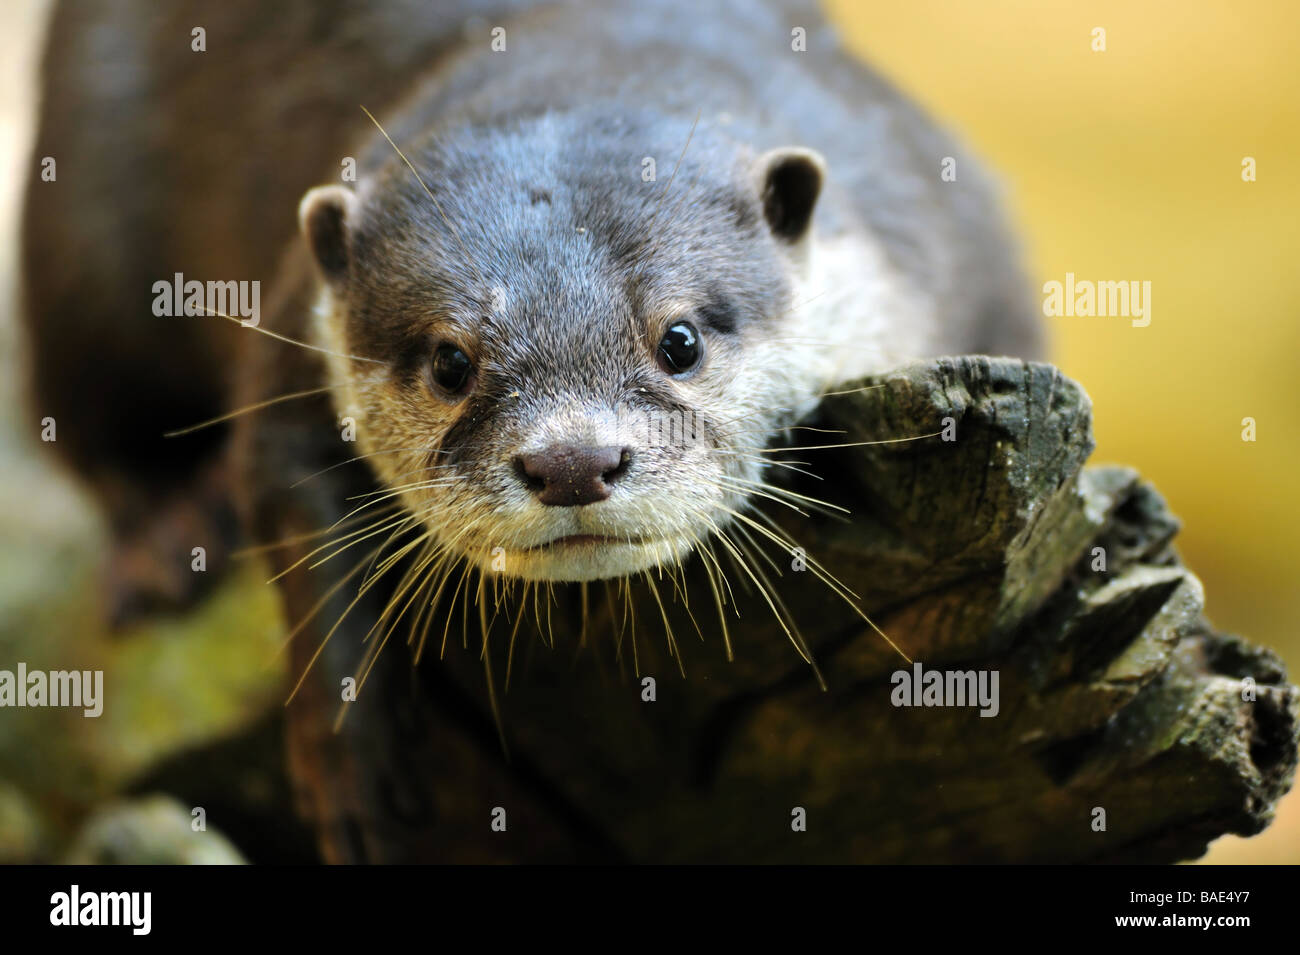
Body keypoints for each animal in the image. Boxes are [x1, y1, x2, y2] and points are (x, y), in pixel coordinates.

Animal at [22, 0, 1045, 862]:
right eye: (450, 362)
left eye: (678, 339)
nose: (573, 461)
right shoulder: (292, 317)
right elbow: (287, 498)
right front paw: (352, 759)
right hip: (77, 228)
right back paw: (170, 537)